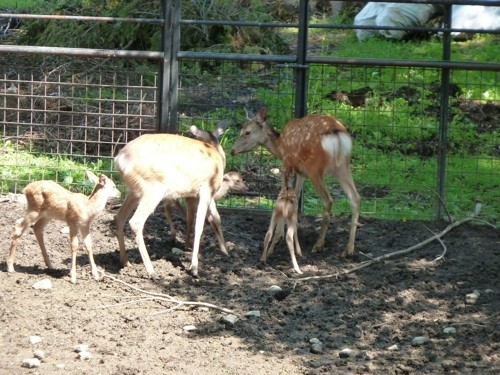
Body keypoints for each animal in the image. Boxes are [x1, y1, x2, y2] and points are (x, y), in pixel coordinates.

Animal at [113, 129, 227, 280]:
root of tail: (120, 158)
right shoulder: (206, 189)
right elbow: (200, 226)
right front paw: (194, 268)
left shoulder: (198, 195)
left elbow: (213, 218)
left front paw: (224, 251)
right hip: (153, 189)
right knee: (136, 221)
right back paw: (152, 272)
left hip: (134, 191)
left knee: (119, 217)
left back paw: (125, 261)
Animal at [230, 107, 360, 258]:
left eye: (247, 132)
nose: (232, 150)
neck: (279, 146)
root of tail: (337, 135)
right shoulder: (301, 173)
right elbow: (296, 198)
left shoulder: (287, 164)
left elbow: (282, 196)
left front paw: (277, 237)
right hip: (343, 167)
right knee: (355, 198)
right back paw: (348, 249)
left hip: (315, 168)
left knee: (328, 200)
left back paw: (319, 245)